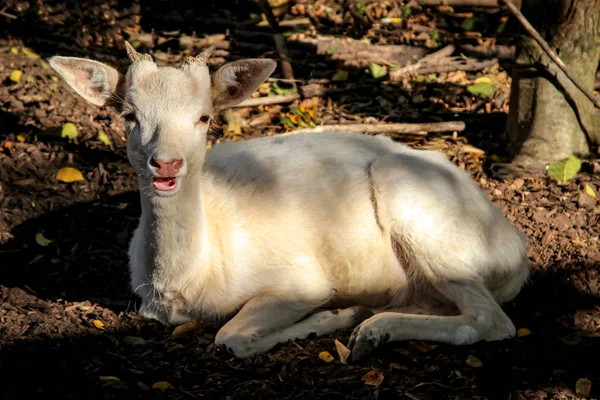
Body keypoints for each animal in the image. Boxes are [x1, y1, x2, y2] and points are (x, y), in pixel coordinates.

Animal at [48, 43, 528, 362]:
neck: (189, 284)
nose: (166, 163)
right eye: (129, 115)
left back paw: (370, 329)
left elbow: (231, 335)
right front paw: (345, 314)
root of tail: (517, 252)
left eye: (204, 116)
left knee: (493, 320)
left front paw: (336, 315)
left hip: (420, 208)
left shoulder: (299, 278)